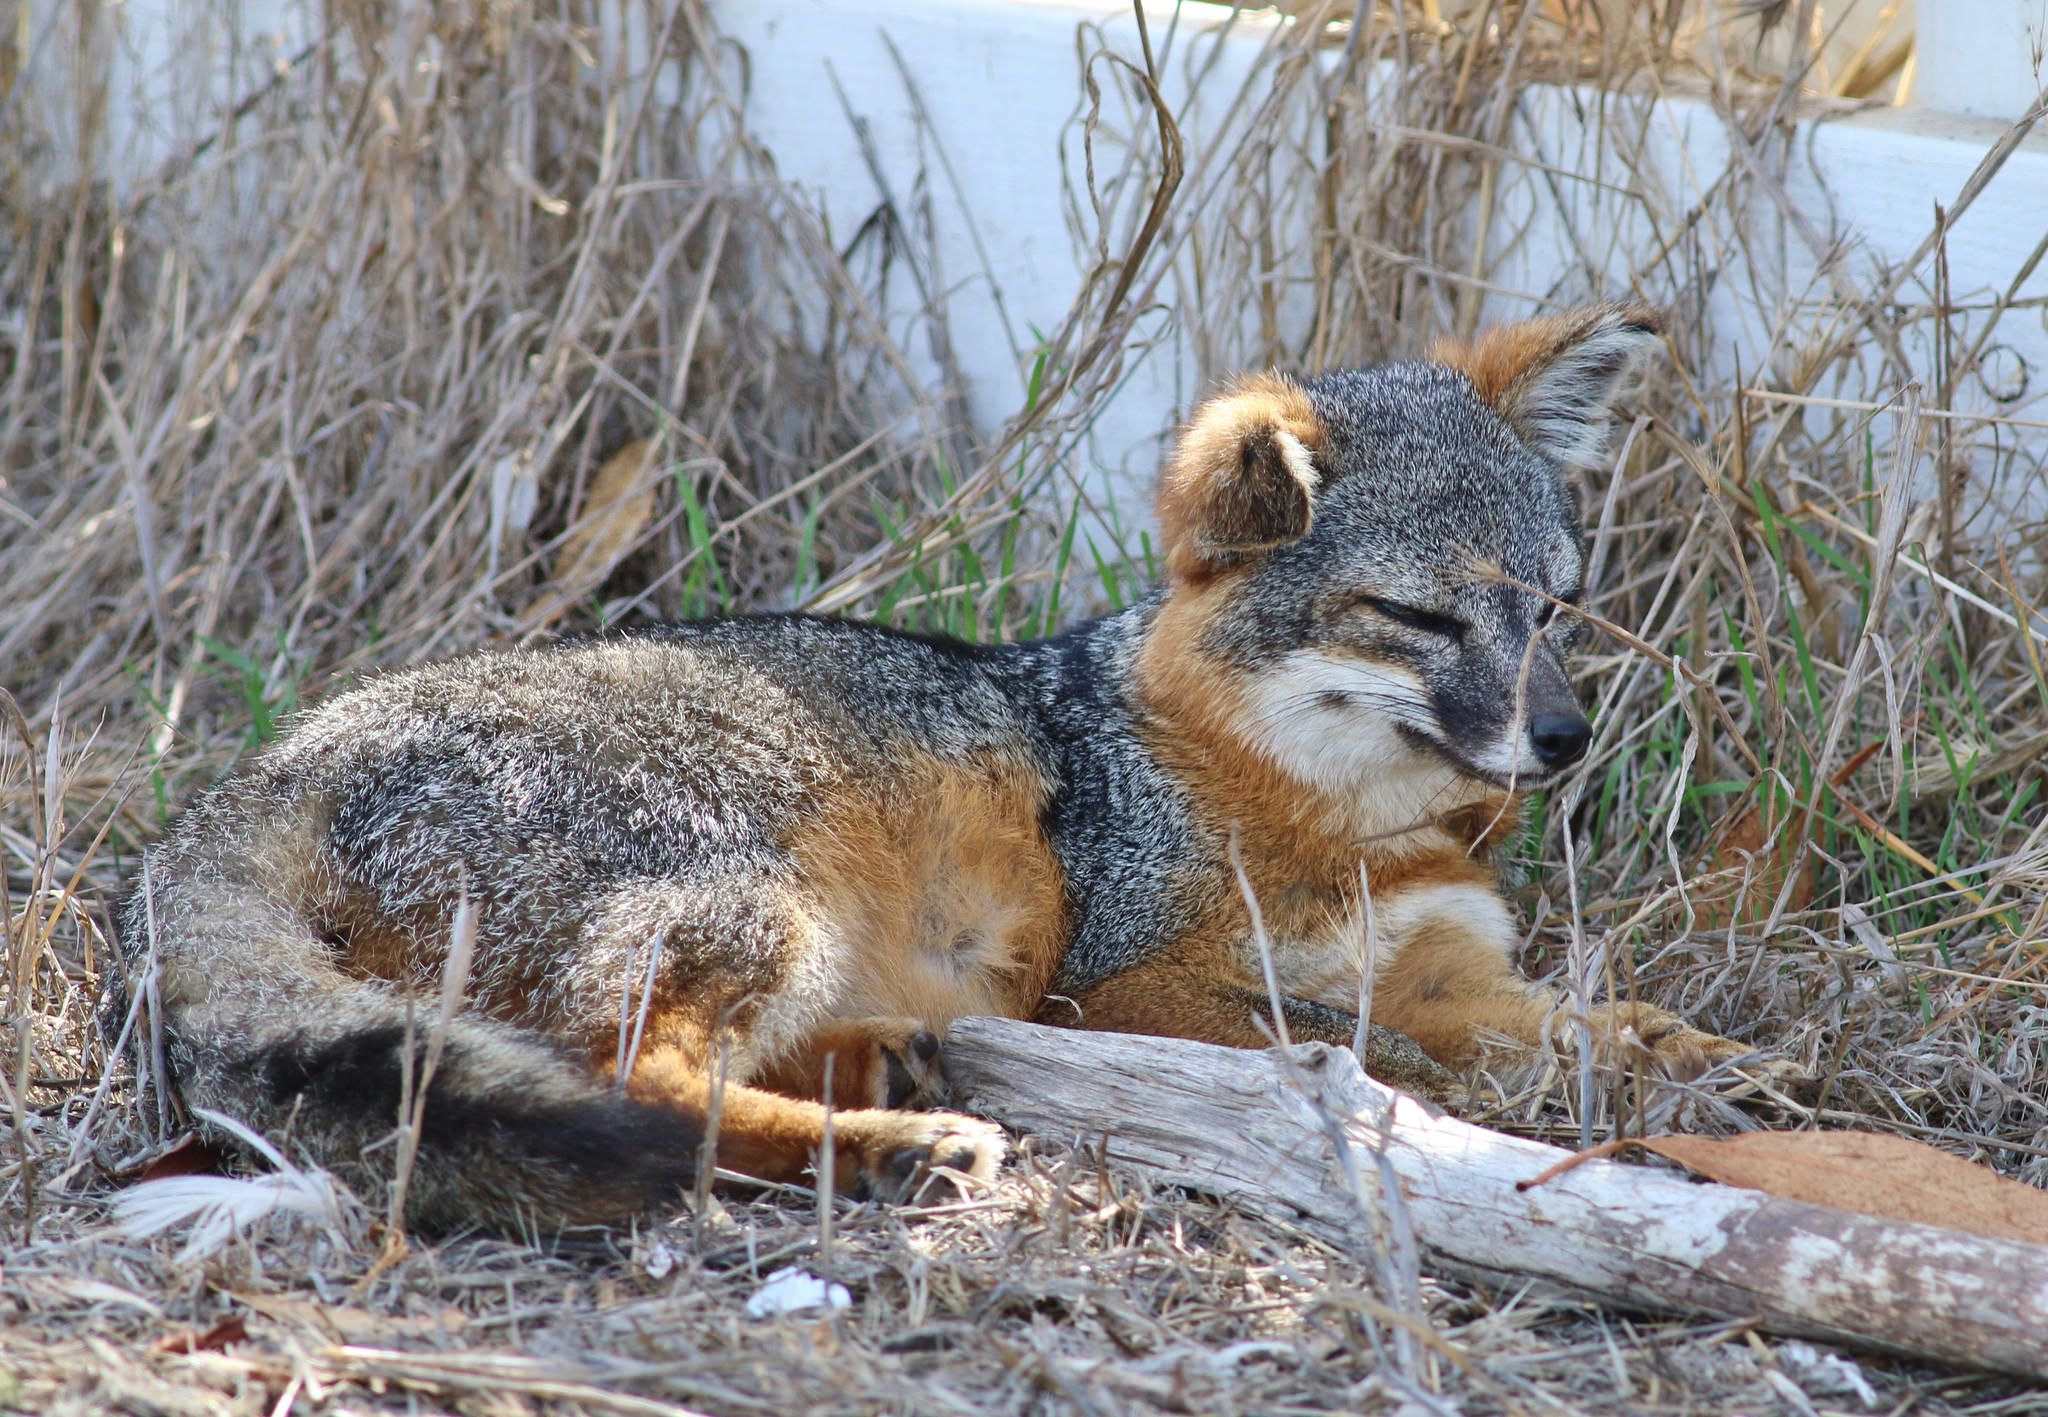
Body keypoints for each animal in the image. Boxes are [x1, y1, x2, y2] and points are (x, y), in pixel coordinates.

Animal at [116, 298, 1777, 1228]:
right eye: (1421, 618)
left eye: (1555, 607)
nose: (1563, 739)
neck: (1346, 827)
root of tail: (285, 752)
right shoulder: (1117, 985)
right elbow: (1357, 1041)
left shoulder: (1450, 959)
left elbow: (1578, 1022)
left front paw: (1694, 1060)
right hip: (747, 898)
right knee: (637, 1082)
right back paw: (902, 1149)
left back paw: (889, 1082)